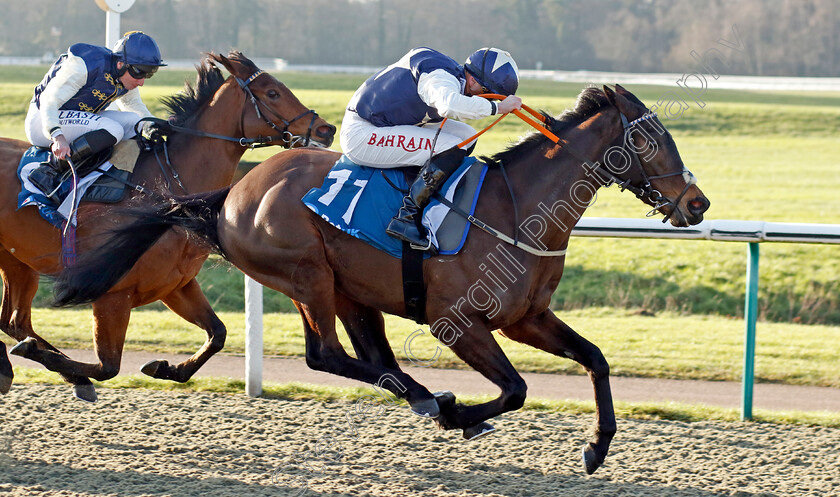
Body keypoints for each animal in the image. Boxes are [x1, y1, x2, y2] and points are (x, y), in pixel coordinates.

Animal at [0, 50, 334, 400]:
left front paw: (165, 368)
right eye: (272, 93)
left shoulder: (176, 285)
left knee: (14, 321)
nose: (326, 129)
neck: (167, 193)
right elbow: (108, 367)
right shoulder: (113, 294)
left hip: (16, 261)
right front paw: (43, 358)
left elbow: (217, 333)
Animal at [52, 85, 708, 472]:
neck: (516, 209)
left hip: (350, 291)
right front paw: (459, 415)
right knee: (326, 355)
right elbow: (517, 389)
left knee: (371, 356)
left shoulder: (527, 318)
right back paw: (431, 398)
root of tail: (232, 193)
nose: (697, 203)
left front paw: (597, 446)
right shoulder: (456, 323)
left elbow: (595, 359)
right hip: (307, 274)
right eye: (651, 138)